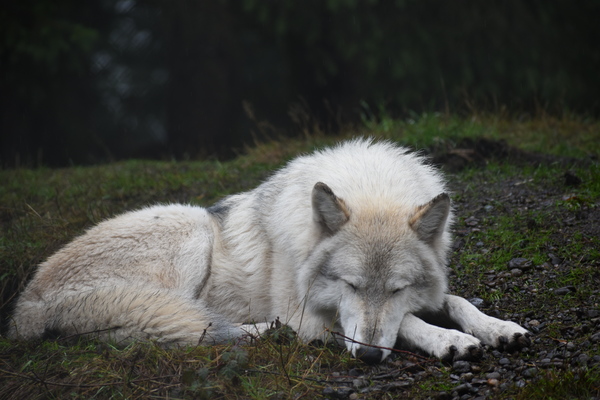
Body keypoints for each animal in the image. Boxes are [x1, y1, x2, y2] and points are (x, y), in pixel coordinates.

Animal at [9, 139, 529, 364]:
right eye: (350, 284)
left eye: (398, 288)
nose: (365, 360)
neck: (371, 187)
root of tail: (25, 304)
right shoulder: (312, 314)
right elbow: (407, 325)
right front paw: (447, 340)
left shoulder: (423, 291)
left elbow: (452, 301)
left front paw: (498, 328)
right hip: (191, 228)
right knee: (190, 329)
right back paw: (267, 331)